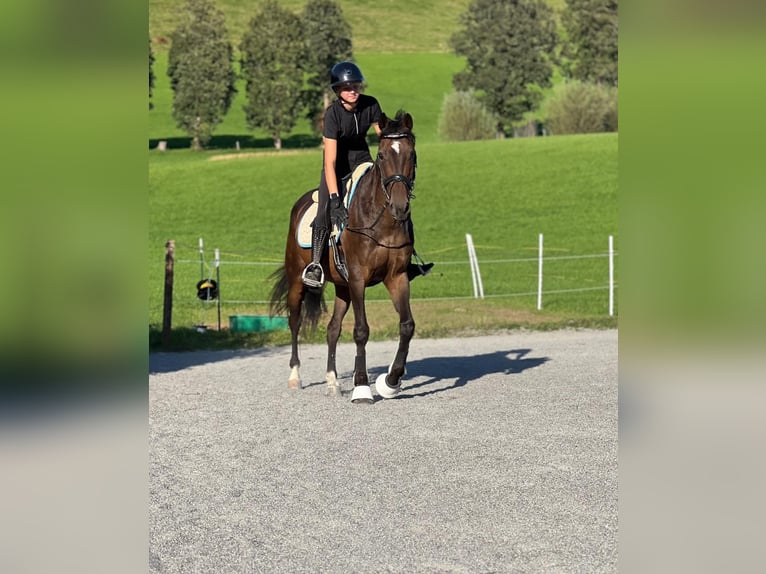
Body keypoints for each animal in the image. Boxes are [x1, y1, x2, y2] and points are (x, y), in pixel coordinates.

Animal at [269, 110, 418, 403]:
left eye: (412, 154)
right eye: (382, 155)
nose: (400, 206)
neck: (381, 221)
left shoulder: (396, 277)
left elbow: (406, 325)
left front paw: (391, 381)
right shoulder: (359, 278)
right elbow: (361, 331)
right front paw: (362, 387)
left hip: (342, 287)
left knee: (332, 328)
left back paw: (332, 381)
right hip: (298, 281)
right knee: (295, 322)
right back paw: (295, 377)